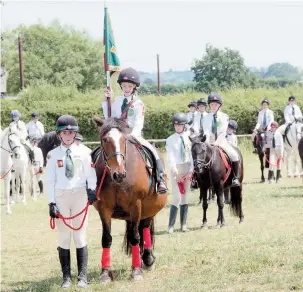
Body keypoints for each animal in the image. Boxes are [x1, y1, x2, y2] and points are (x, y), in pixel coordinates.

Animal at [92, 116, 169, 282]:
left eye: (124, 139)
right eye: (105, 139)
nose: (119, 174)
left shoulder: (136, 205)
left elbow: (135, 237)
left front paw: (136, 271)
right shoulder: (103, 208)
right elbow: (106, 238)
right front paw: (105, 273)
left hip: (148, 209)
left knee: (144, 228)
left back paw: (147, 259)